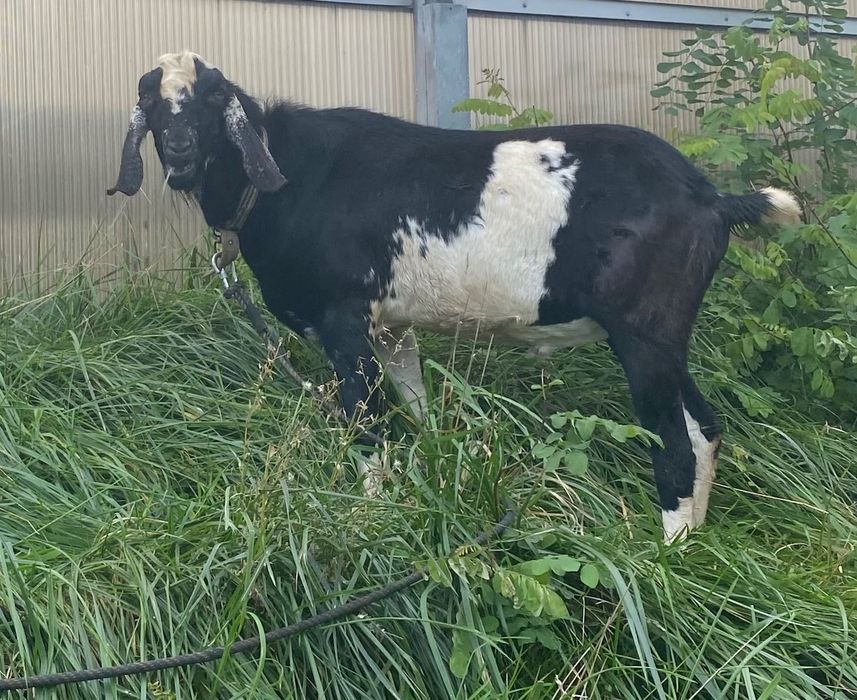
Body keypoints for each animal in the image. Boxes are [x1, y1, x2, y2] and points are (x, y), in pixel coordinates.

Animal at [108, 51, 801, 542]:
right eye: (148, 97)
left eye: (211, 97)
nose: (181, 151)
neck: (289, 177)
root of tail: (710, 198)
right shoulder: (391, 328)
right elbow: (416, 416)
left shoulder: (343, 320)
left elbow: (368, 426)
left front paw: (365, 519)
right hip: (663, 336)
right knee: (706, 427)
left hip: (644, 333)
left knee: (676, 442)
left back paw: (666, 557)